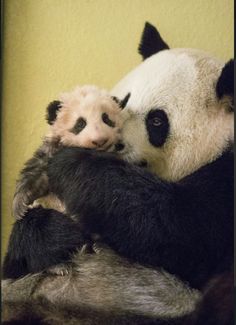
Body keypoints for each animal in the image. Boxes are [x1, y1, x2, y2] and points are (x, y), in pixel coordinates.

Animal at [2, 22, 234, 324]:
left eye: (157, 121)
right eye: (122, 102)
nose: (114, 142)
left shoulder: (226, 176)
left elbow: (178, 229)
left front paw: (68, 160)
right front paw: (53, 230)